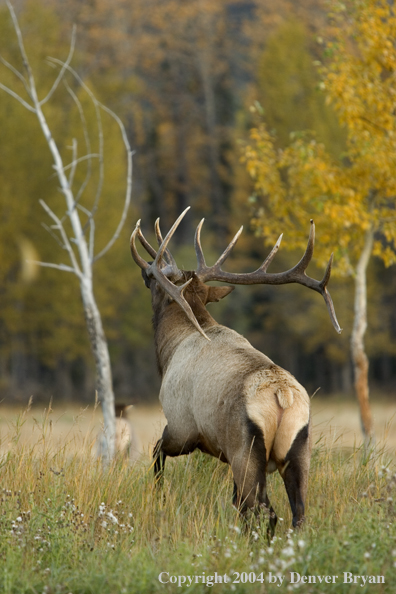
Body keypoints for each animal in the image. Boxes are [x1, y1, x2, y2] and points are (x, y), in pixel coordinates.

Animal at [130, 208, 340, 536]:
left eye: (154, 278)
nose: (146, 273)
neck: (169, 351)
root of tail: (282, 396)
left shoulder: (182, 426)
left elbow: (156, 454)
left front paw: (159, 498)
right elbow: (235, 502)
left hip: (245, 450)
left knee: (264, 511)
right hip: (298, 449)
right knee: (298, 513)